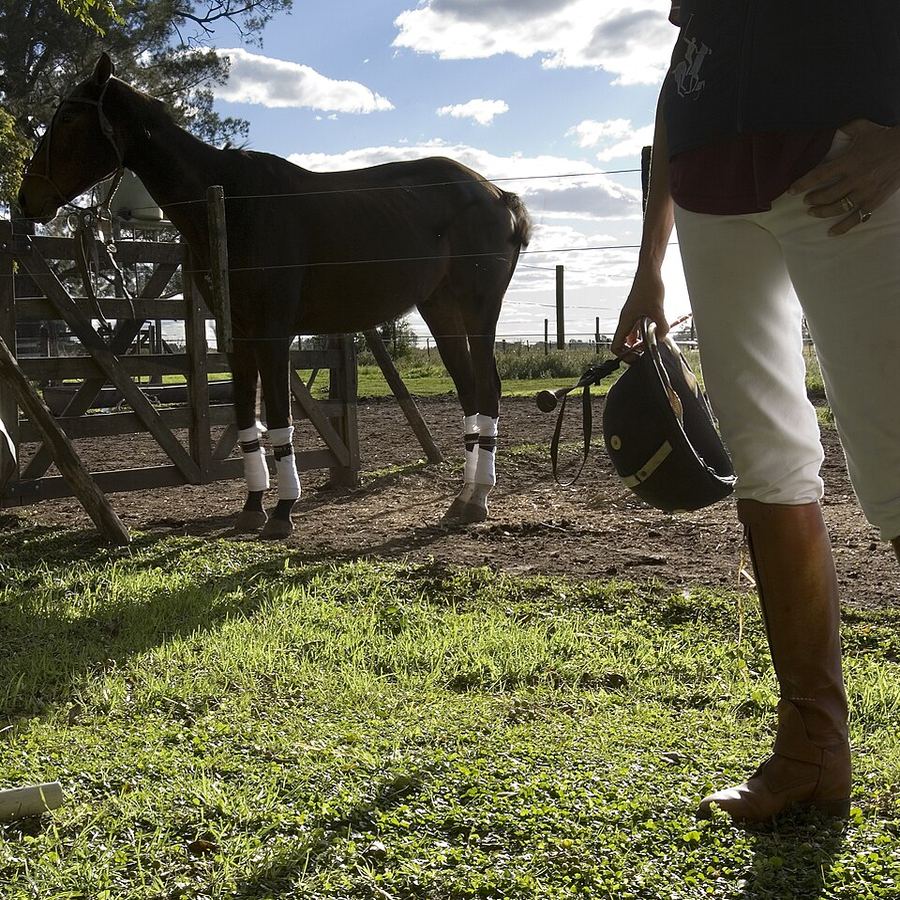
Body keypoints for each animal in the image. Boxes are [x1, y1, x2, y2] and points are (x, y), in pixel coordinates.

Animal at [18, 53, 532, 538]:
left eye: (69, 116)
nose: (26, 198)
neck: (228, 204)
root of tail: (499, 195)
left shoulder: (272, 334)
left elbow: (280, 419)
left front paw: (283, 511)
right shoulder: (237, 337)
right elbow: (248, 419)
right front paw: (252, 509)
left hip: (478, 310)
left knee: (488, 389)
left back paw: (478, 497)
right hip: (441, 311)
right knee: (471, 395)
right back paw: (465, 499)